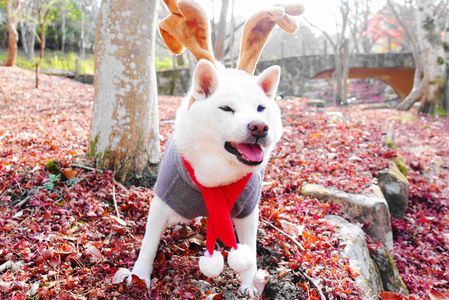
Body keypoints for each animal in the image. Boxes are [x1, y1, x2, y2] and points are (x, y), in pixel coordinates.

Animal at [130, 0, 304, 296]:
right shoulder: (162, 203)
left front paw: (248, 284)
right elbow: (149, 244)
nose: (259, 127)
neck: (217, 177)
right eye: (226, 108)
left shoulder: (248, 212)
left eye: (261, 108)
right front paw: (139, 276)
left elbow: (249, 252)